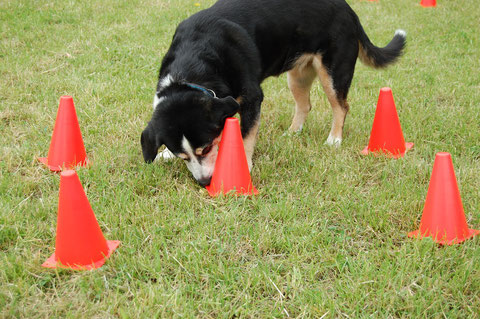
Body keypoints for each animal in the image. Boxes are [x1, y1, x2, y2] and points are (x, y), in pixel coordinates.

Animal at [142, 0, 404, 186]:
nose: (205, 182)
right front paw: (164, 154)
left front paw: (243, 165)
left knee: (341, 106)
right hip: (297, 75)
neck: (194, 61)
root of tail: (348, 9)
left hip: (333, 71)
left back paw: (334, 139)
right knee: (305, 105)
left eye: (206, 148)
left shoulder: (252, 98)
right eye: (182, 157)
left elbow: (246, 136)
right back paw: (293, 132)